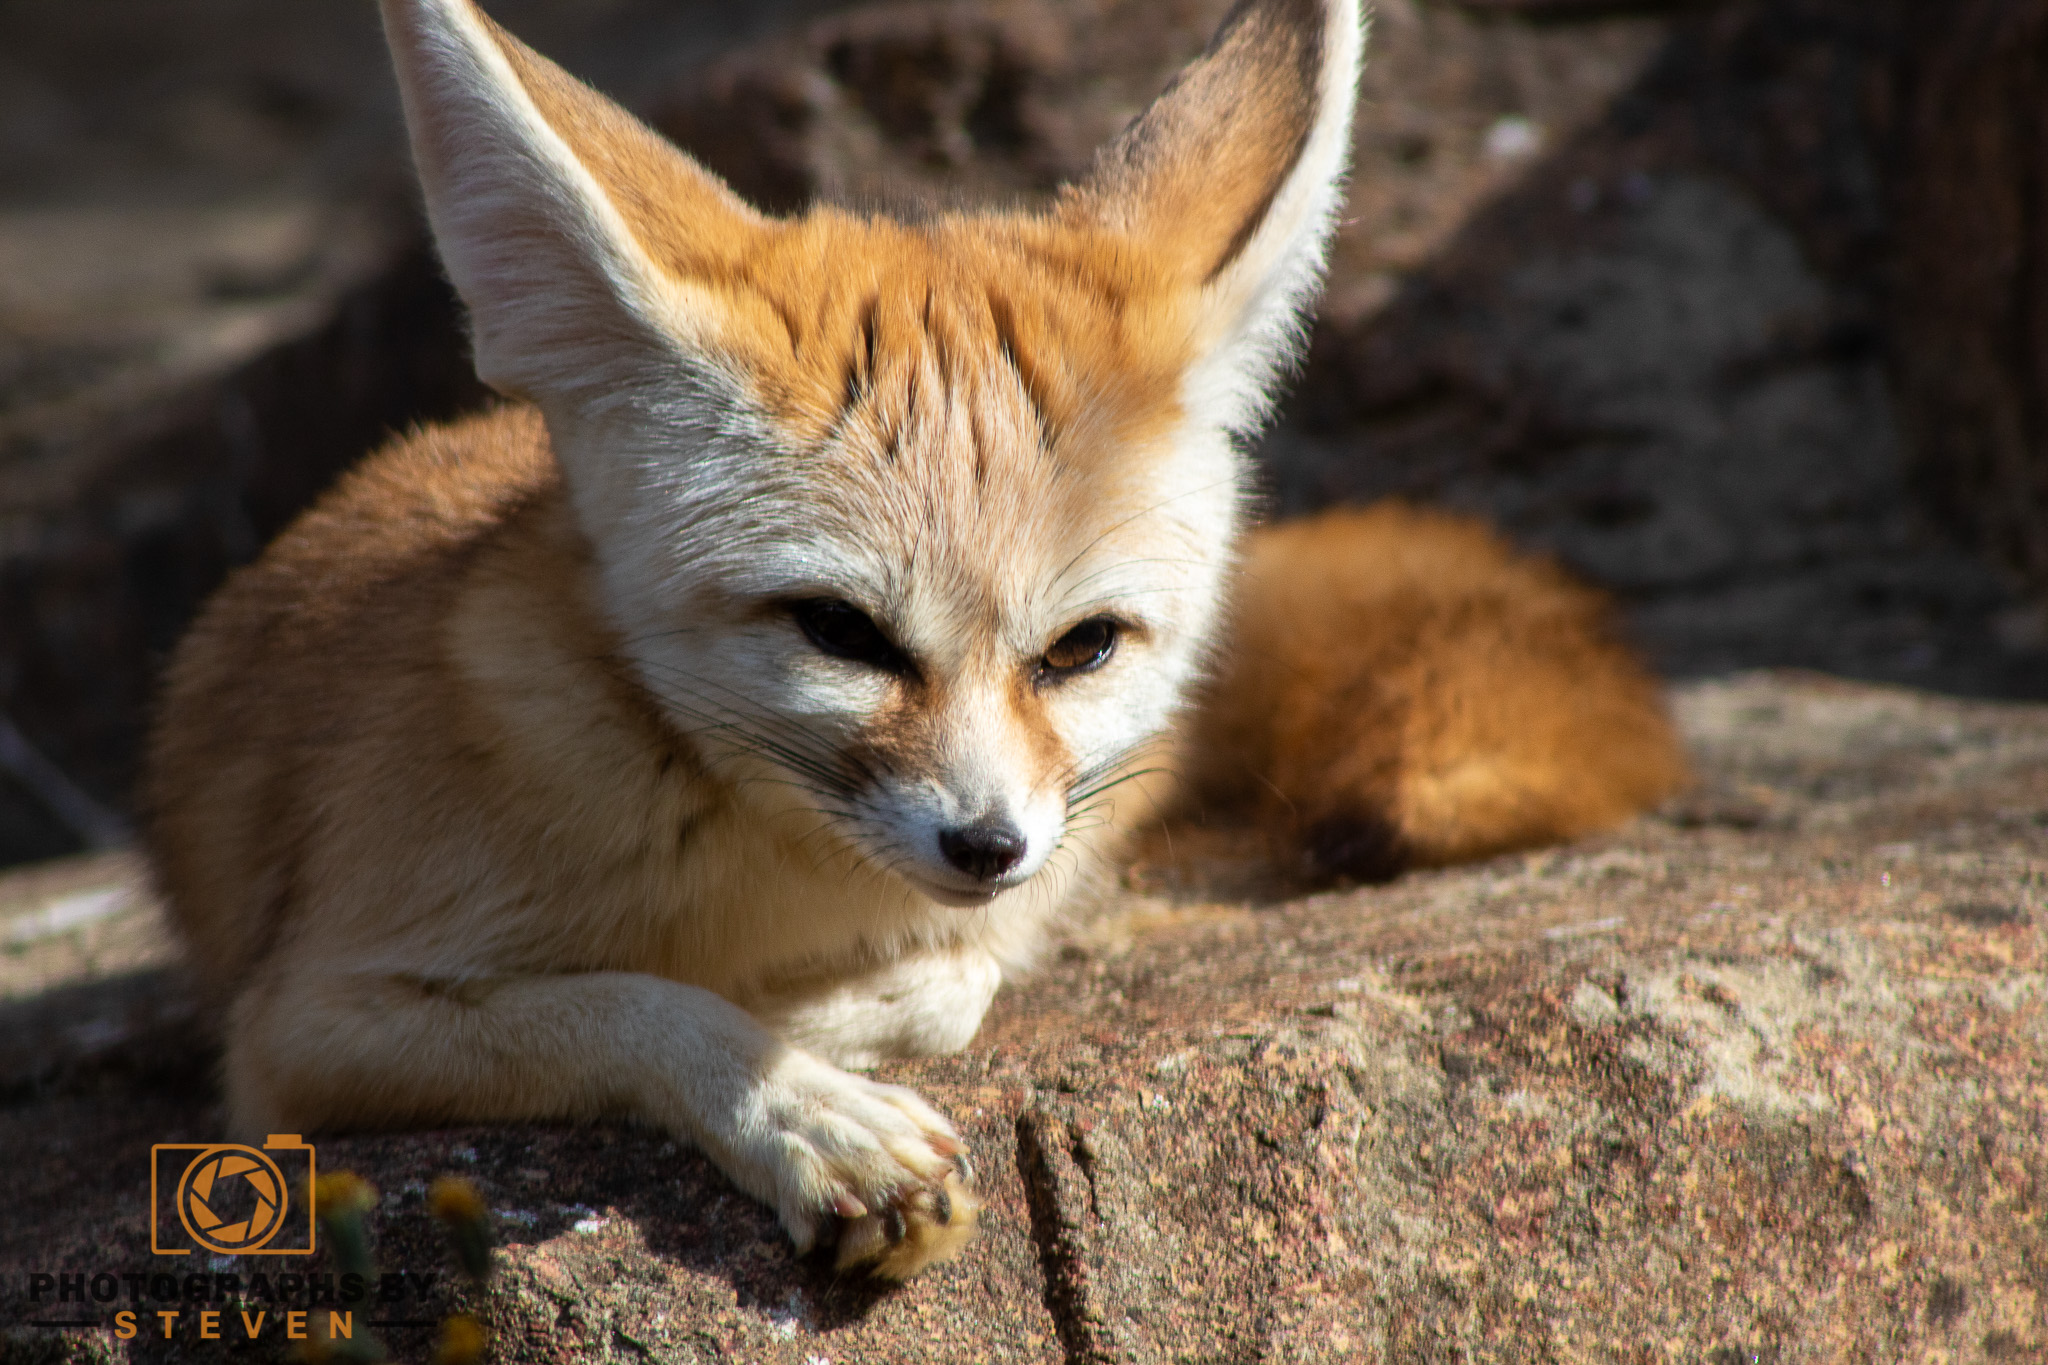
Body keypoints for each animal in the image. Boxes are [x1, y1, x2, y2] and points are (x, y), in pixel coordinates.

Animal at [143, 0, 1685, 1281]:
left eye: (1081, 648)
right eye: (840, 632)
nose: (987, 845)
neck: (756, 871)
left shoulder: (1020, 884)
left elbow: (956, 979)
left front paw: (826, 1022)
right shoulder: (295, 1037)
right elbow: (634, 1005)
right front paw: (800, 1105)